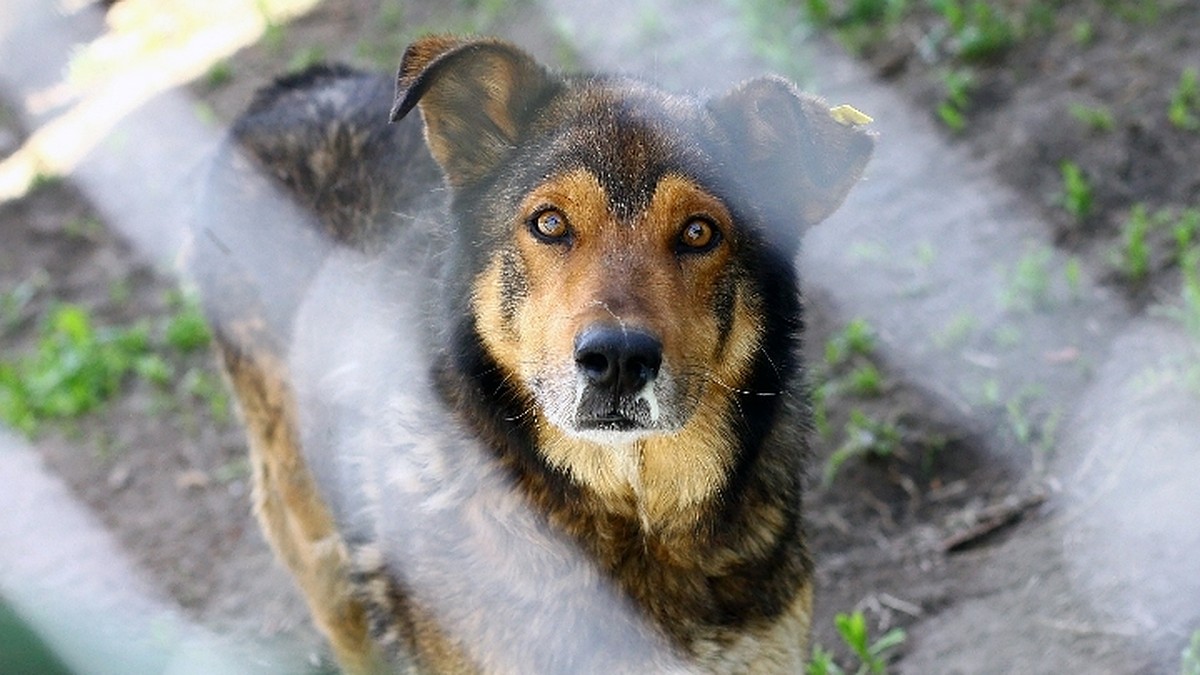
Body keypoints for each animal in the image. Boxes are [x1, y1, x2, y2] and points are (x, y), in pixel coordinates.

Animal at [194, 32, 873, 672]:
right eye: (549, 223)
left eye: (699, 233)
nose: (618, 360)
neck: (631, 517)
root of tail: (297, 86)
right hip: (313, 535)